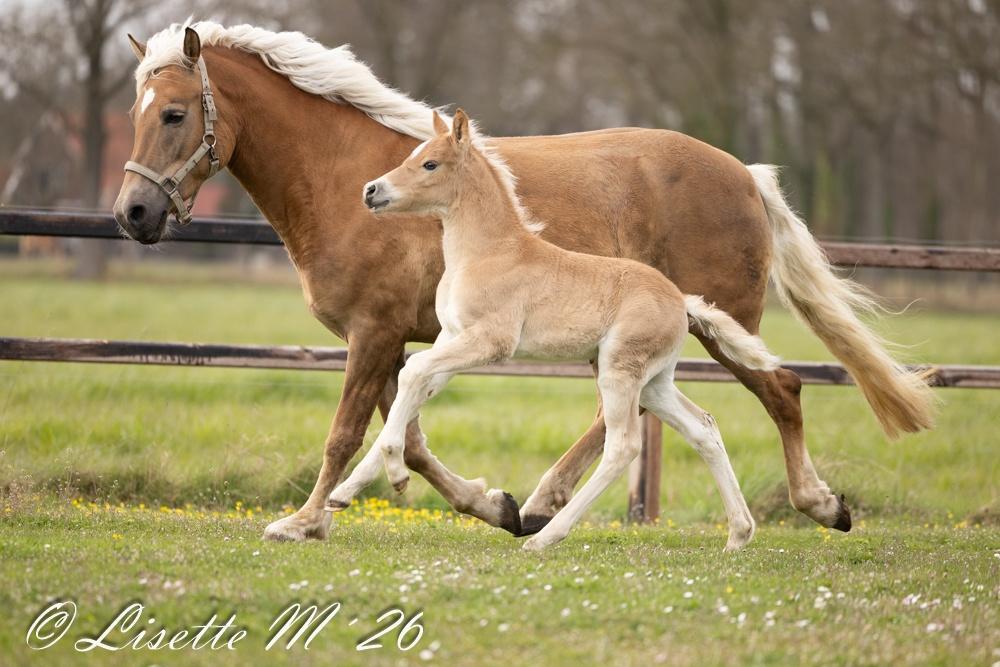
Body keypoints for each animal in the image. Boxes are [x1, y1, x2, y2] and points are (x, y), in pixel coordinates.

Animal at [325, 109, 780, 551]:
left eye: (430, 163)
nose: (371, 191)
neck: (487, 253)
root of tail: (681, 301)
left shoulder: (490, 342)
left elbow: (412, 371)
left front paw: (396, 474)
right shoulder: (451, 338)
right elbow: (415, 391)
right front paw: (341, 495)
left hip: (620, 372)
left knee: (623, 446)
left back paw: (544, 536)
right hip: (655, 382)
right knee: (703, 428)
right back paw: (738, 534)